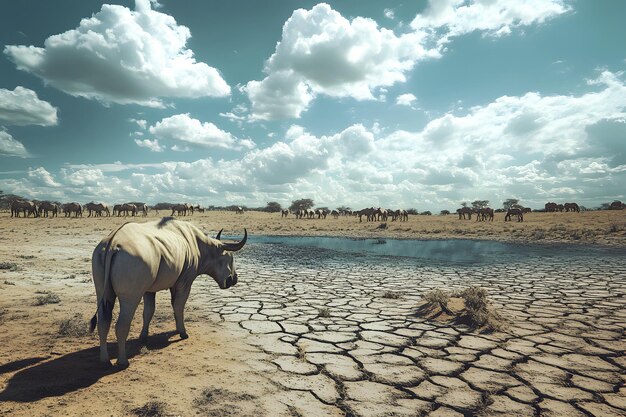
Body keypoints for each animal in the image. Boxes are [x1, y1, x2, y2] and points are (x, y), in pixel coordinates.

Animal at [90, 216, 246, 366]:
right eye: (230, 259)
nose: (234, 279)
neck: (207, 248)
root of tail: (112, 244)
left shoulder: (150, 287)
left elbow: (150, 311)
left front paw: (144, 337)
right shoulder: (185, 281)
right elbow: (179, 306)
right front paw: (183, 333)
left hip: (100, 256)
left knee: (104, 311)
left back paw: (104, 360)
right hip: (132, 263)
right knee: (126, 312)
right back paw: (123, 362)